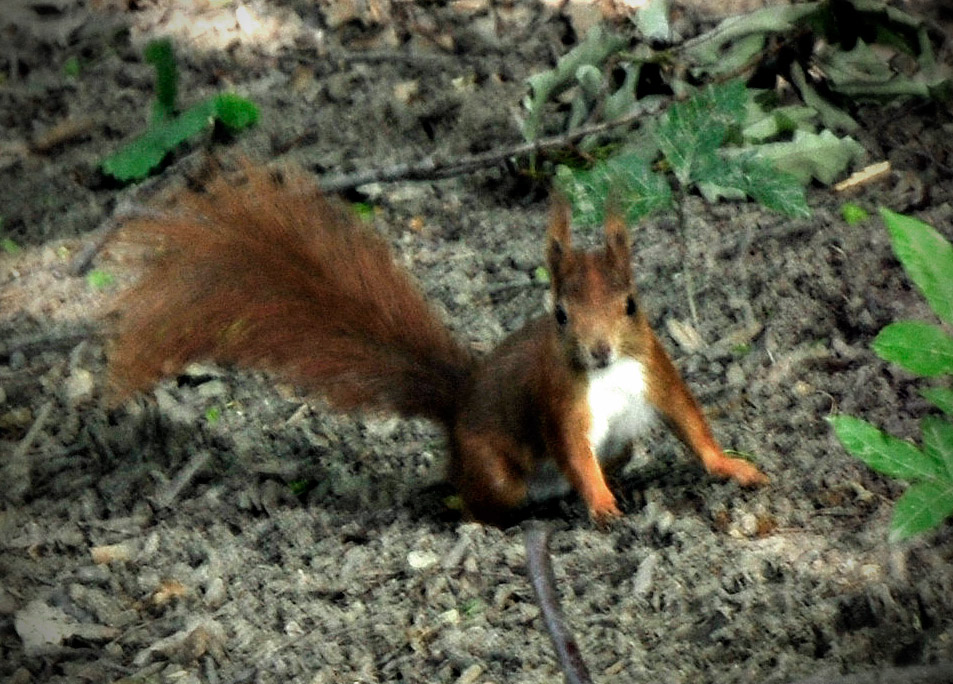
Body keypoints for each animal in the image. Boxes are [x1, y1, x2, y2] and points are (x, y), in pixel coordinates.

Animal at [108, 162, 767, 525]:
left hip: (619, 446)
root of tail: (459, 401)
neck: (607, 376)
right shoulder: (559, 403)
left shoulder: (655, 369)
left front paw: (733, 467)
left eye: (631, 304)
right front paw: (602, 506)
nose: (600, 350)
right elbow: (573, 453)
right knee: (483, 497)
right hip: (494, 470)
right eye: (559, 315)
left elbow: (691, 422)